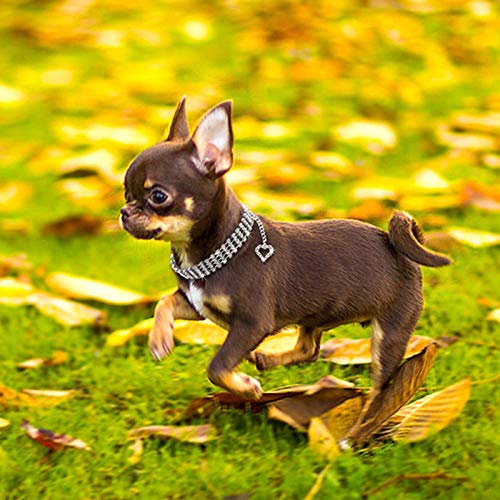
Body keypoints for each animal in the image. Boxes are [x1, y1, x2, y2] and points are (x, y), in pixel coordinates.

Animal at [119, 97, 452, 400]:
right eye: (125, 192)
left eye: (158, 196)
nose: (124, 212)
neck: (210, 253)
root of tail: (398, 247)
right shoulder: (197, 305)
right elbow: (164, 302)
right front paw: (159, 339)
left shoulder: (252, 324)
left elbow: (217, 366)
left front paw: (245, 388)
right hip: (317, 315)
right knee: (309, 348)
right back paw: (268, 359)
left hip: (390, 332)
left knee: (380, 386)